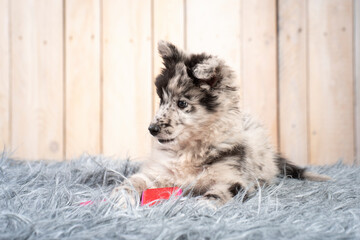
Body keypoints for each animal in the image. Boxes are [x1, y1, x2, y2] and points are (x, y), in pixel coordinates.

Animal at [111, 41, 330, 206]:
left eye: (182, 103)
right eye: (162, 100)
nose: (152, 129)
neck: (188, 152)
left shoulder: (233, 178)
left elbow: (219, 193)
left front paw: (201, 207)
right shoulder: (157, 172)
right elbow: (132, 182)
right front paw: (119, 198)